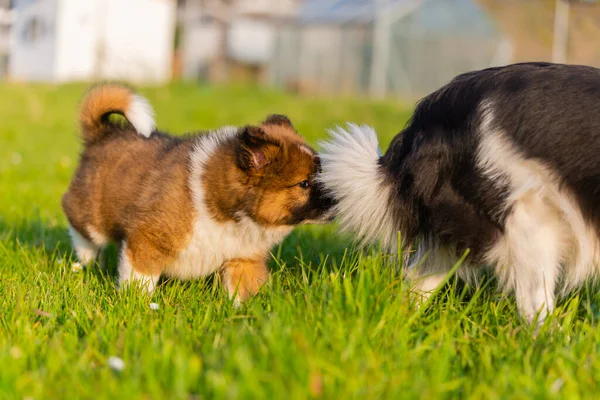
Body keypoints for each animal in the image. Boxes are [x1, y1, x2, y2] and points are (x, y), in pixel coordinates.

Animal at [63, 85, 336, 304]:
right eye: (303, 184)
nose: (338, 201)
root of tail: (103, 133)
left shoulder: (243, 259)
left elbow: (243, 292)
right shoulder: (146, 241)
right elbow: (140, 281)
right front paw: (137, 306)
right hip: (92, 217)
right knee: (79, 228)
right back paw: (87, 262)